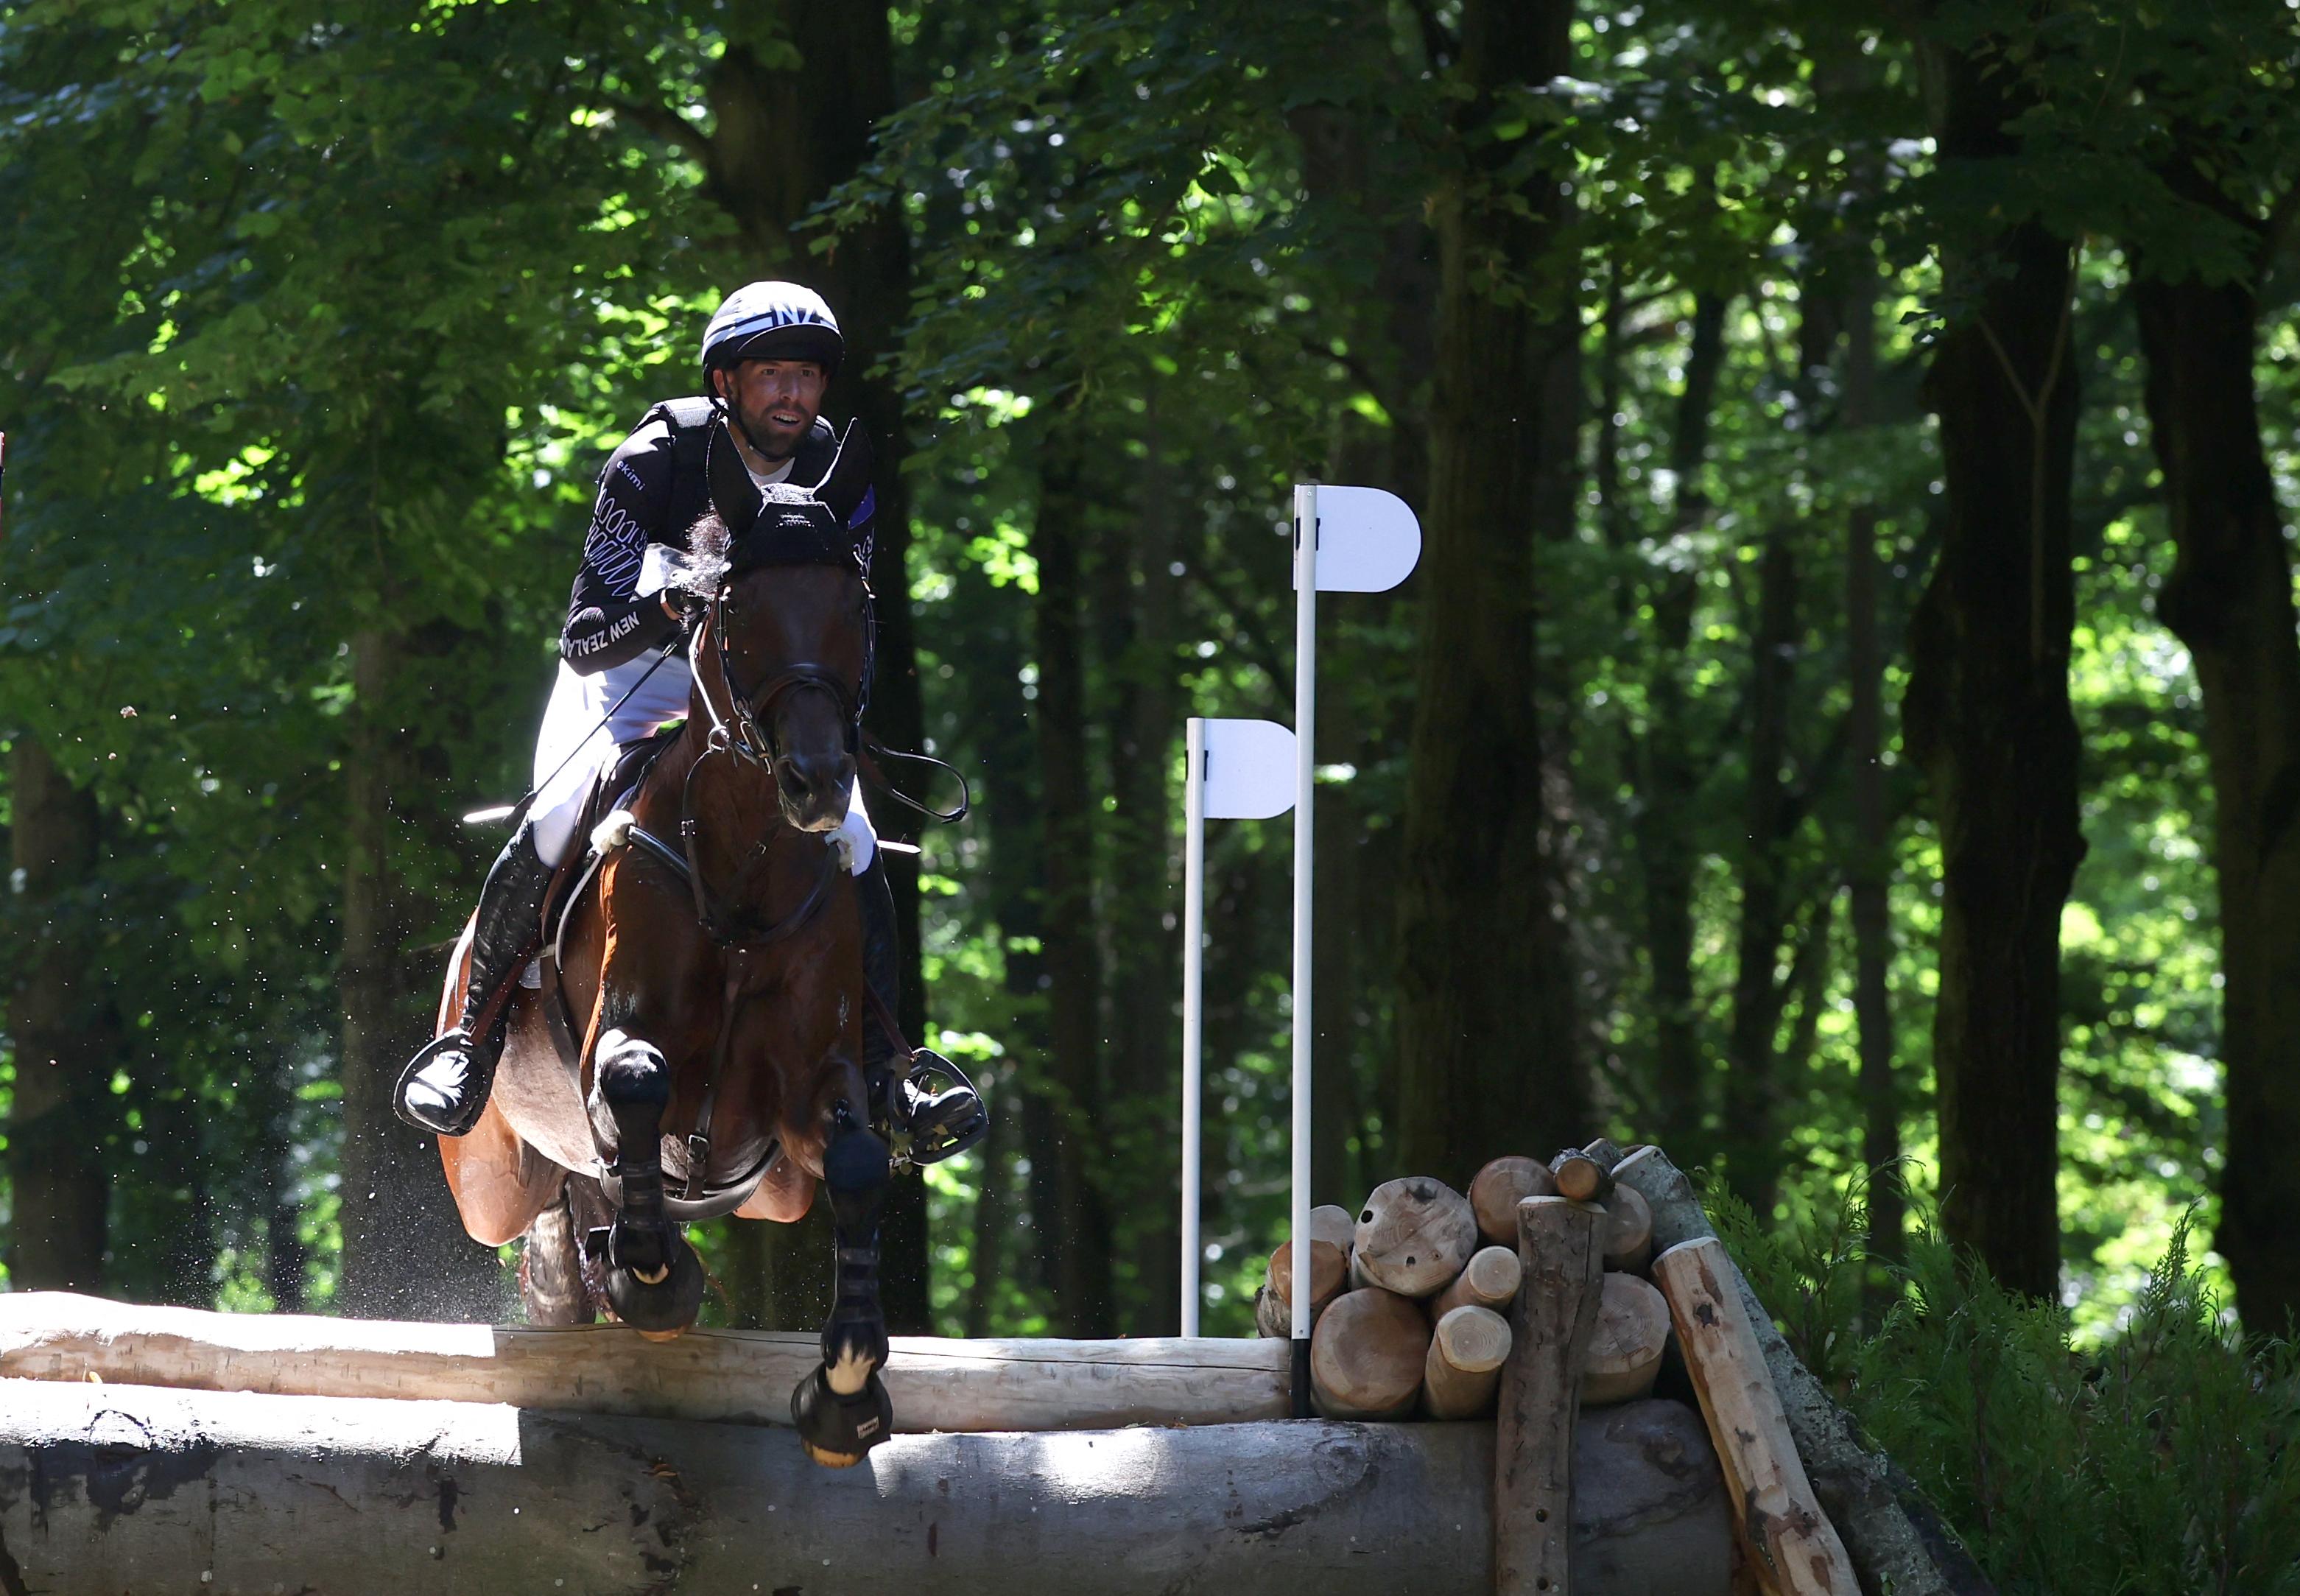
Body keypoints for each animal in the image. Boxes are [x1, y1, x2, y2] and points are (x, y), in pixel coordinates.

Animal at [432, 487, 906, 1472]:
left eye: (859, 610)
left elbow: (855, 1158)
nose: (818, 783)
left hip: (773, 1194)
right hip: (489, 1176)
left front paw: (845, 1389)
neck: (747, 868)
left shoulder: (811, 1086)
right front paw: (653, 1280)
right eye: (739, 616)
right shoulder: (618, 1035)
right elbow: (636, 1078)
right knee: (543, 1202)